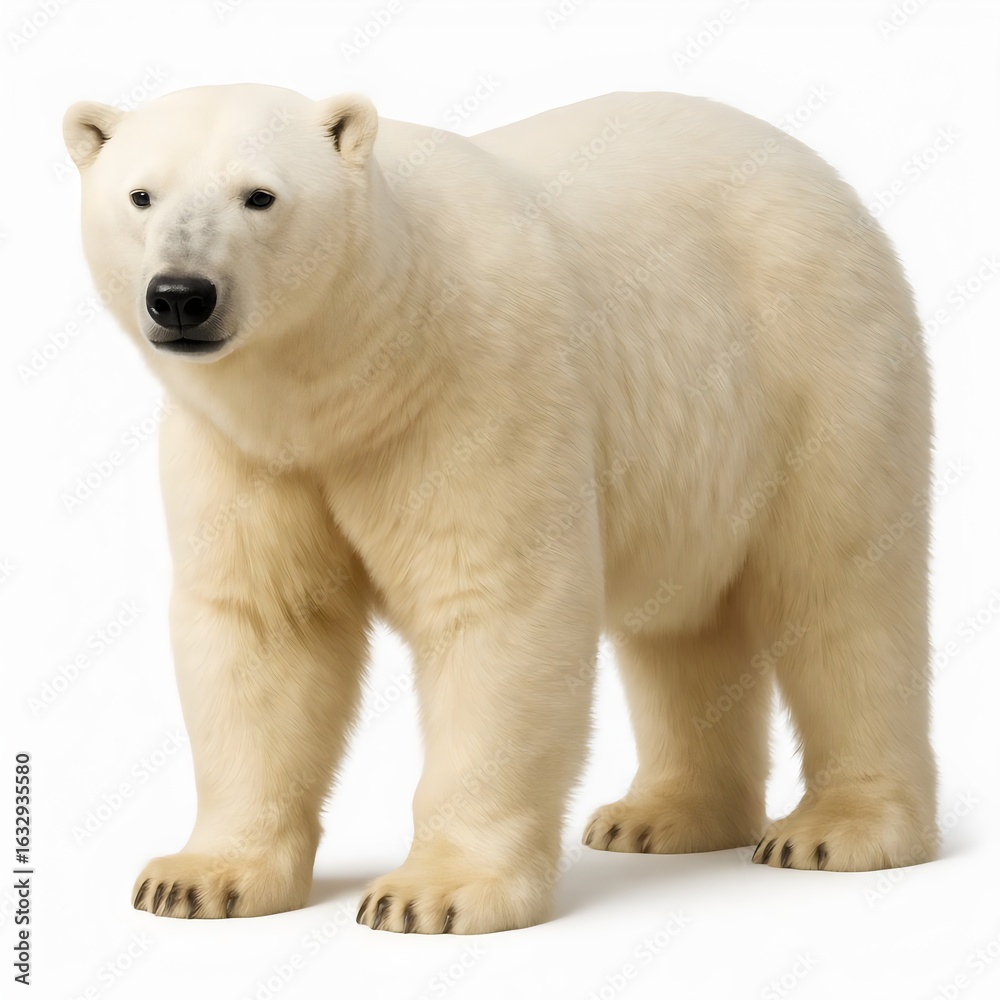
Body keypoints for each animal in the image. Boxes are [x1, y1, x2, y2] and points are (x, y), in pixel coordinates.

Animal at [63, 84, 938, 934]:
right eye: (141, 194)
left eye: (260, 195)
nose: (182, 296)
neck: (354, 376)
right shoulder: (244, 452)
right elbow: (265, 624)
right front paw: (195, 880)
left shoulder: (477, 387)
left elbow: (494, 606)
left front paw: (431, 895)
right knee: (682, 626)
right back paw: (658, 817)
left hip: (817, 365)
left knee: (842, 590)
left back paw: (837, 830)